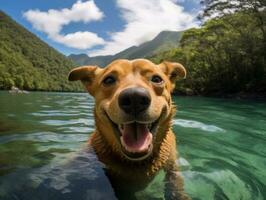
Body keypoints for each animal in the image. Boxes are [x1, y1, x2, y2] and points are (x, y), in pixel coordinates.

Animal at [68, 58, 189, 199]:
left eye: (156, 79)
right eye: (108, 80)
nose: (134, 98)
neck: (138, 163)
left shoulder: (172, 164)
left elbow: (175, 182)